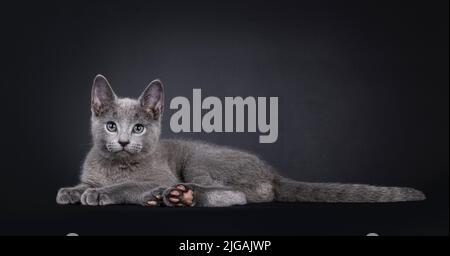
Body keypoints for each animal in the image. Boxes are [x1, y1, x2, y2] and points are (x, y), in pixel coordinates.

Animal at [56, 75, 426, 207]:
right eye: (111, 125)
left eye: (138, 129)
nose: (121, 141)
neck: (115, 166)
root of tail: (270, 172)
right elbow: (82, 184)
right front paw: (72, 192)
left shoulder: (156, 174)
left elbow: (128, 186)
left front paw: (100, 194)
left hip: (199, 161)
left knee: (241, 196)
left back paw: (178, 195)